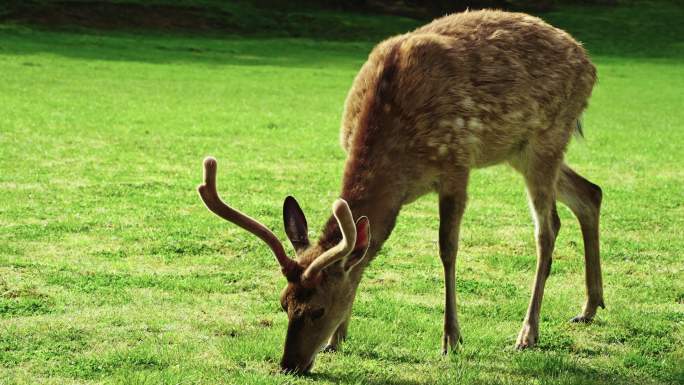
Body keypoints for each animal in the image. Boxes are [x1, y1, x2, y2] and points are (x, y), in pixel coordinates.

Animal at [196, 9, 604, 374]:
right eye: (283, 304)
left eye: (318, 309)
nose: (289, 365)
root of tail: (589, 61)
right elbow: (363, 252)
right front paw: (337, 339)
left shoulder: (456, 163)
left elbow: (447, 249)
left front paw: (451, 339)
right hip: (519, 151)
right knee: (590, 192)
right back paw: (589, 306)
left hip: (547, 137)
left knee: (547, 228)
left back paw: (528, 332)